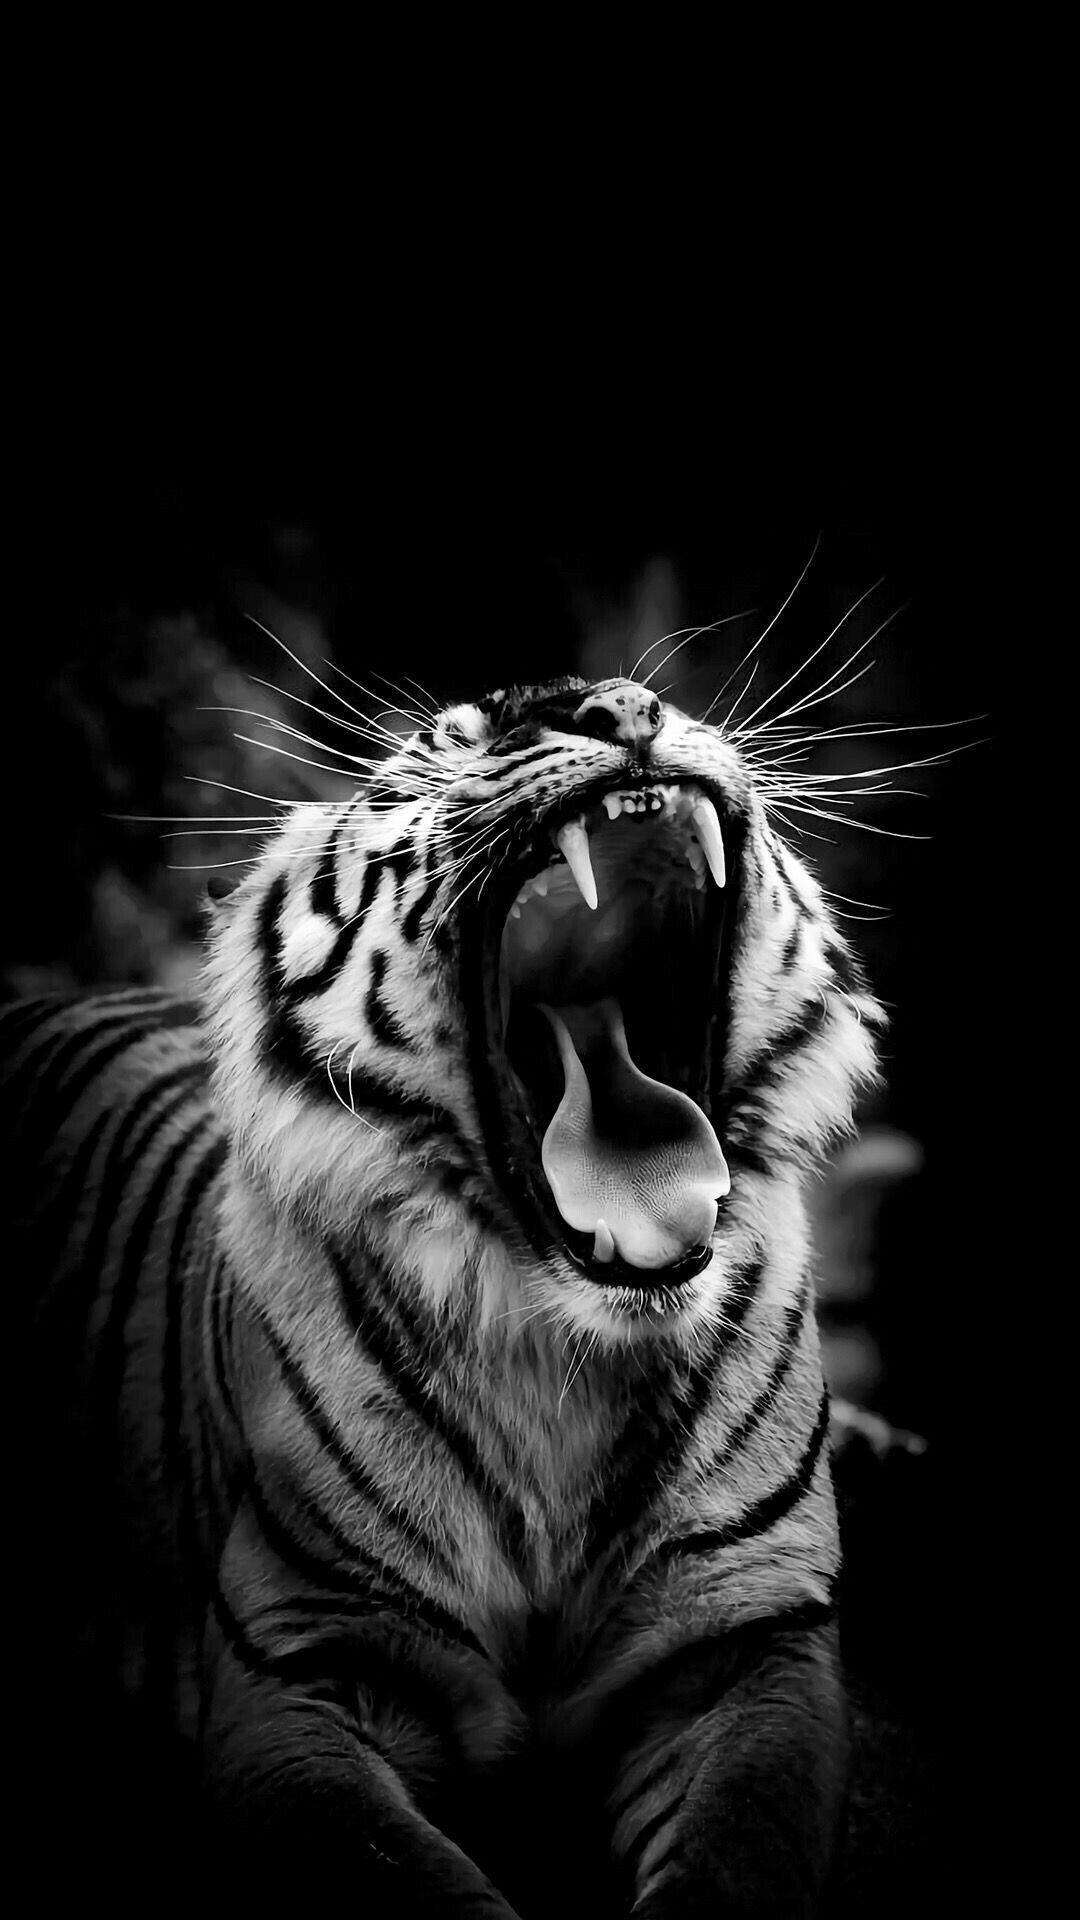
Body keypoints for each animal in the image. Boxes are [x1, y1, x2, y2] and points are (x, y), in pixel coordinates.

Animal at [7, 671, 884, 1915]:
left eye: (646, 696)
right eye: (440, 746)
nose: (612, 705)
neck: (566, 1357)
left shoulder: (753, 1637)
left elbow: (738, 1852)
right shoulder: (301, 1665)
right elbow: (401, 1874)